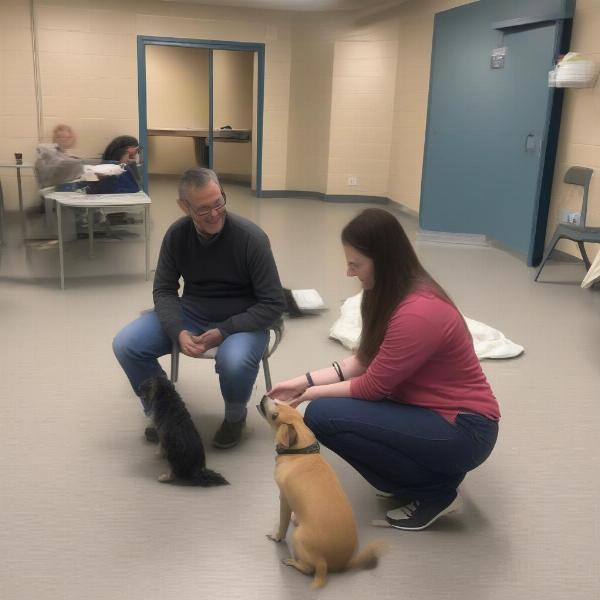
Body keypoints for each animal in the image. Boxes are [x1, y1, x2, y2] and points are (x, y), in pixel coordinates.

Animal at [256, 396, 386, 588]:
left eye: (275, 415)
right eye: (278, 401)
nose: (265, 396)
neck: (300, 453)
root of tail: (339, 564)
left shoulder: (284, 499)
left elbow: (282, 524)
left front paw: (277, 535)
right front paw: (296, 518)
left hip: (298, 538)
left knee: (309, 569)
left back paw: (293, 562)